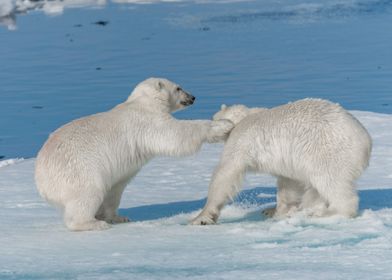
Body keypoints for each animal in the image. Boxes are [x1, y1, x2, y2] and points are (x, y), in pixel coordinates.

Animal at [35, 77, 234, 231]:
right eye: (178, 87)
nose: (192, 97)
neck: (144, 101)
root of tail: (41, 180)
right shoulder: (147, 121)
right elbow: (175, 135)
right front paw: (224, 125)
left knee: (112, 191)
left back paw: (114, 217)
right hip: (79, 171)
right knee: (87, 195)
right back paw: (93, 223)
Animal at [191, 99, 372, 225]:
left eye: (212, 117)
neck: (244, 117)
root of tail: (366, 141)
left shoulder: (241, 139)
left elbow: (226, 172)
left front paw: (201, 217)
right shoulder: (291, 158)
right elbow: (289, 182)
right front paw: (274, 211)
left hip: (328, 152)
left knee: (331, 181)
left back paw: (327, 213)